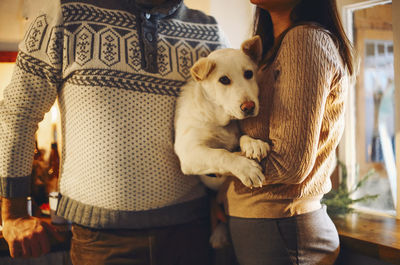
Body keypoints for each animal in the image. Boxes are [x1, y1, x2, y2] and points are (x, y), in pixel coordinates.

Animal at [173, 36, 270, 246]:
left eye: (249, 73)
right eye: (224, 80)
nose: (249, 107)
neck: (219, 119)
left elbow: (241, 136)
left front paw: (253, 143)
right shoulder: (189, 153)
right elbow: (220, 154)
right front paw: (246, 168)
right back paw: (219, 234)